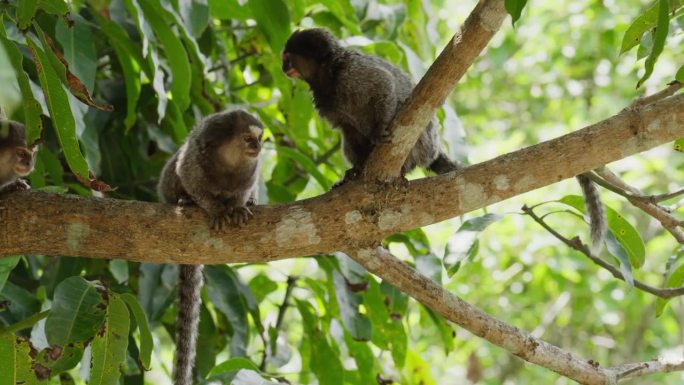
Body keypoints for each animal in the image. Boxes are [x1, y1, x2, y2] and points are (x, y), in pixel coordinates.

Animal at [156, 109, 264, 385]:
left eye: (259, 138)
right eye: (247, 138)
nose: (258, 147)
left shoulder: (251, 172)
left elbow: (244, 190)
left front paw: (238, 207)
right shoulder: (194, 159)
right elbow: (188, 177)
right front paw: (215, 209)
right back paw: (186, 201)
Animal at [280, 27, 462, 184]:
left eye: (287, 59)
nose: (283, 68)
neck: (329, 73)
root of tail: (434, 150)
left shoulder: (353, 73)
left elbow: (383, 83)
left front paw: (379, 129)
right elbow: (348, 128)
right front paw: (358, 166)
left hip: (422, 143)